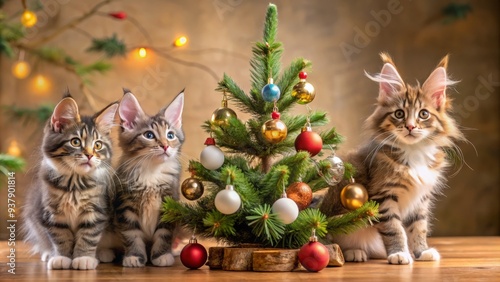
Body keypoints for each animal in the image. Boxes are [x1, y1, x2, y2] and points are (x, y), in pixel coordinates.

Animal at [22, 94, 117, 268]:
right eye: (75, 142)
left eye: (98, 145)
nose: (89, 155)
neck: (75, 185)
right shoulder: (52, 215)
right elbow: (61, 238)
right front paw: (62, 258)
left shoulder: (95, 211)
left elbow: (88, 237)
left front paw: (84, 258)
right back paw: (48, 253)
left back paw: (103, 253)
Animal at [114, 90, 185, 266]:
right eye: (149, 135)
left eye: (170, 135)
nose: (165, 145)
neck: (152, 172)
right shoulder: (125, 206)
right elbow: (131, 234)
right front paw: (134, 257)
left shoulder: (169, 202)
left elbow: (164, 233)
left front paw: (162, 255)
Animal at [320, 53, 464, 264]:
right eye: (399, 113)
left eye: (423, 114)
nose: (410, 126)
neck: (413, 153)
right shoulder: (384, 196)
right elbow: (395, 229)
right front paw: (399, 254)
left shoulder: (421, 199)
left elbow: (419, 228)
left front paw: (421, 251)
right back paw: (354, 252)